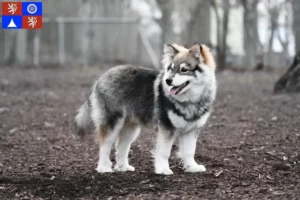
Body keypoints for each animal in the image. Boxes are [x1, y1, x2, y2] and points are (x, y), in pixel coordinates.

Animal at [74, 43, 217, 174]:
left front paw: (192, 167)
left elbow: (189, 151)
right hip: (112, 122)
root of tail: (101, 77)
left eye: (184, 70)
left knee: (121, 147)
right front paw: (163, 169)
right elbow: (164, 152)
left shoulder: (191, 129)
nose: (168, 80)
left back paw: (123, 167)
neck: (190, 100)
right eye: (171, 69)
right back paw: (103, 168)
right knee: (105, 145)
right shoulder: (166, 126)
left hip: (130, 128)